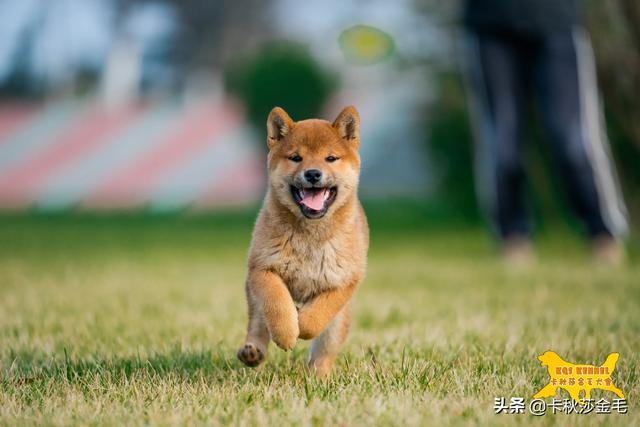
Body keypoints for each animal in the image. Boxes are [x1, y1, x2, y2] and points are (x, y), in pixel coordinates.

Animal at [239, 105, 370, 376]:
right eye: (296, 158)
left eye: (330, 158)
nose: (312, 173)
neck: (310, 236)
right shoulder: (263, 268)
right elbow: (277, 304)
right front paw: (287, 332)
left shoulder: (345, 280)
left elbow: (317, 316)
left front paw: (303, 322)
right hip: (253, 295)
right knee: (257, 325)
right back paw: (253, 352)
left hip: (340, 321)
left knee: (324, 351)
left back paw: (320, 376)